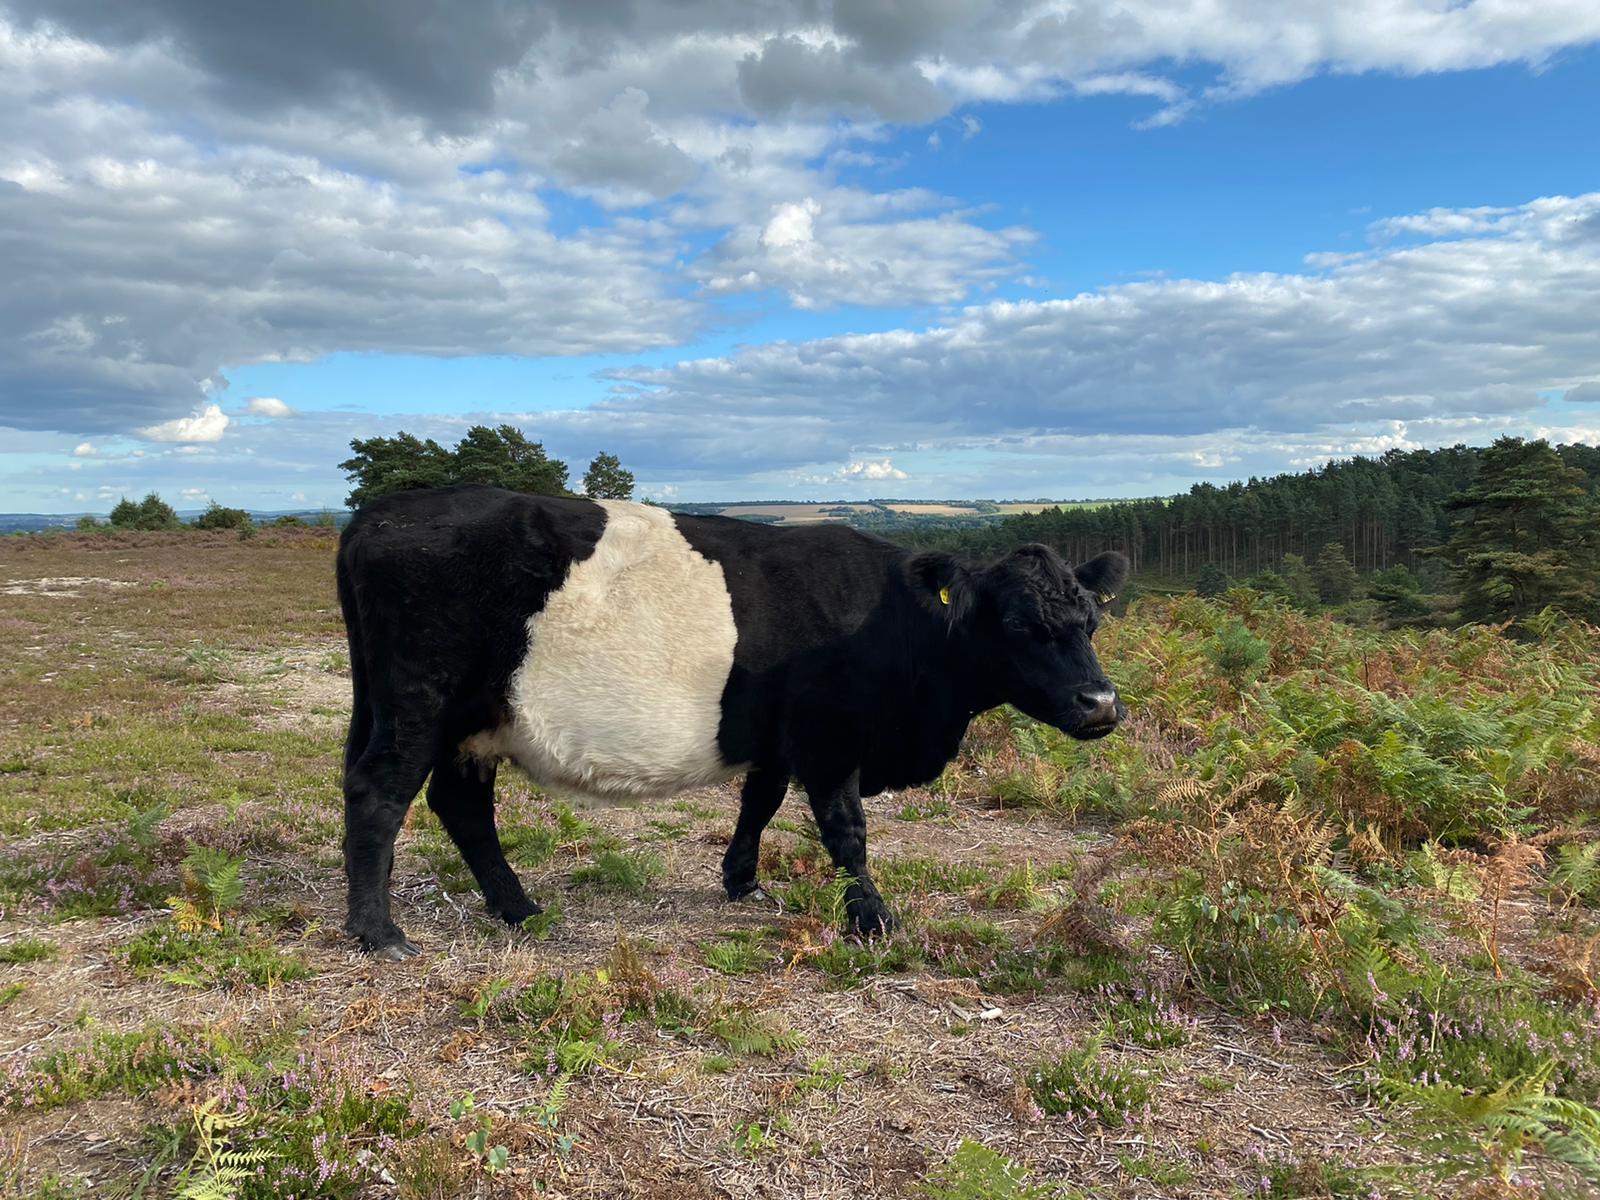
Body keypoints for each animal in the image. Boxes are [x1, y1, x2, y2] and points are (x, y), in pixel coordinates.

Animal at [336, 484, 1128, 958]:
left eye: (1091, 620)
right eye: (1020, 625)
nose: (1101, 705)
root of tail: (379, 513)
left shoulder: (778, 737)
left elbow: (760, 802)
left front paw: (742, 882)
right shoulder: (832, 739)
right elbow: (846, 832)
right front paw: (873, 918)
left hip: (466, 721)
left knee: (460, 805)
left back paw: (517, 907)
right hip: (420, 704)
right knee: (381, 793)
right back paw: (380, 932)